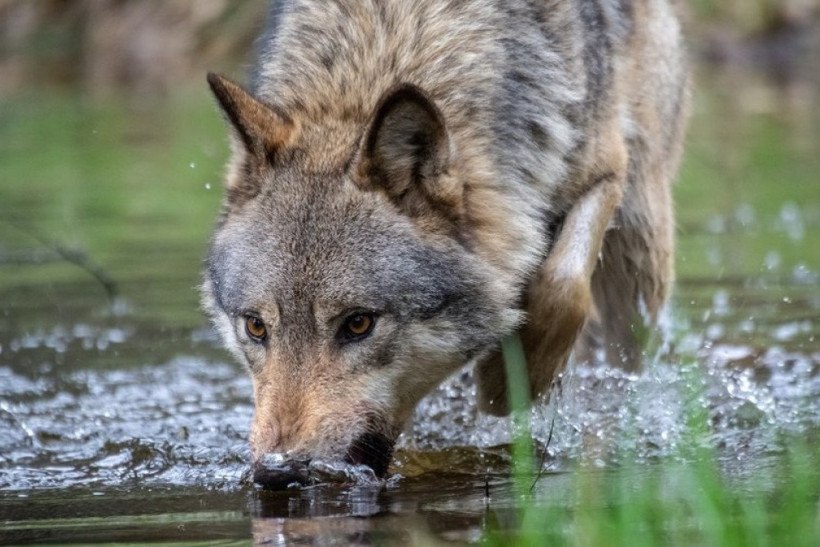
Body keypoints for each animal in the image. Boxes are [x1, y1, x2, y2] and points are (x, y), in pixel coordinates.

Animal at [202, 0, 688, 488]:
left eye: (358, 324)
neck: (388, 42)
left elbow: (562, 285)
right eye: (255, 327)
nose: (277, 473)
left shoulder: (605, 169)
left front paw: (507, 383)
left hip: (640, 239)